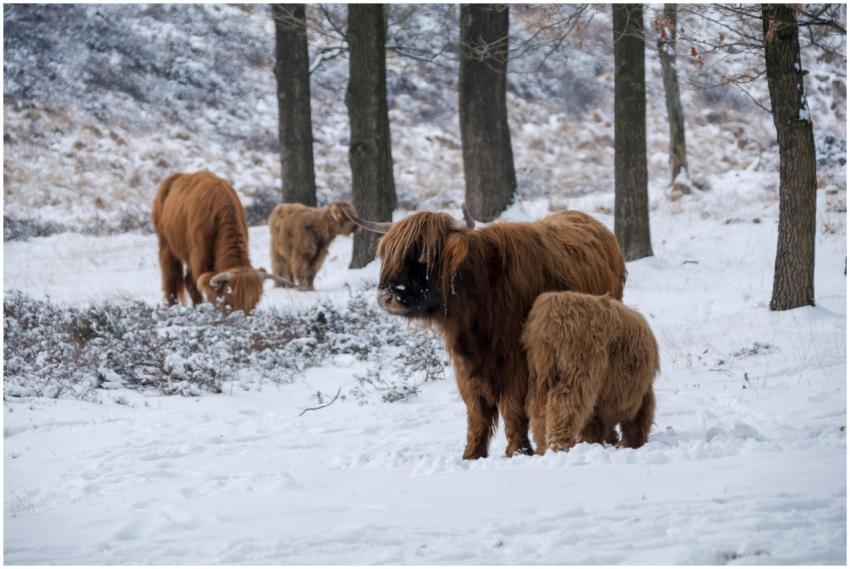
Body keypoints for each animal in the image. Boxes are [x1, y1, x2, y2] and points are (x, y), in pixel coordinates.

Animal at [152, 171, 288, 312]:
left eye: (254, 303)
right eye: (230, 303)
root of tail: (176, 176)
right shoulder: (199, 259)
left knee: (187, 280)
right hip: (166, 245)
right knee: (171, 277)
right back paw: (172, 305)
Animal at [346, 207, 627, 459]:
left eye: (424, 257)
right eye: (389, 255)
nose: (386, 297)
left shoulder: (516, 363)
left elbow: (513, 407)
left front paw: (518, 451)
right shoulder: (467, 366)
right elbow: (477, 411)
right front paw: (472, 454)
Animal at [523, 291, 659, 454]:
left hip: (541, 374)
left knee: (538, 409)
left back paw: (543, 448)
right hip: (579, 371)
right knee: (564, 404)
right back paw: (561, 445)